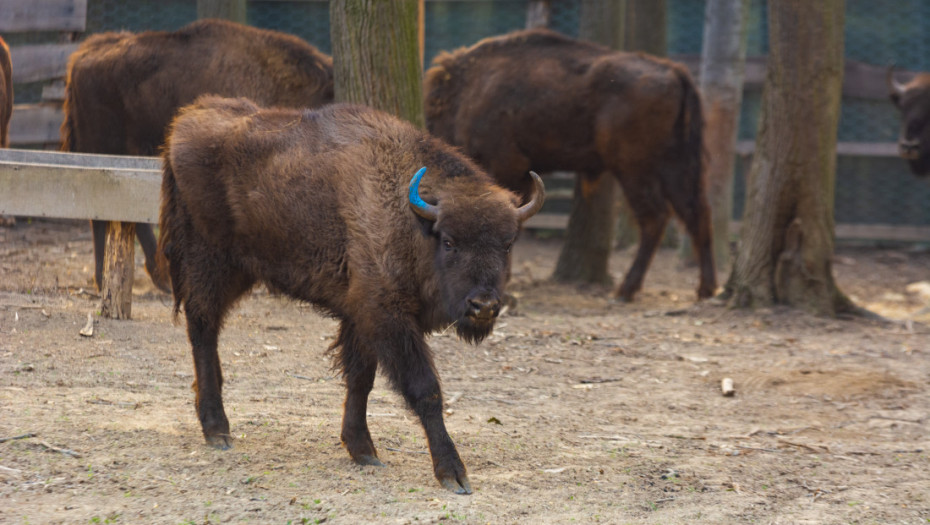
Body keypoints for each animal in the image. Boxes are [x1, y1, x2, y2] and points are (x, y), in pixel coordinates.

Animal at [158, 96, 544, 494]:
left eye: (507, 243)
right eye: (449, 241)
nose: (483, 306)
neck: (409, 216)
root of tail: (184, 121)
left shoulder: (361, 317)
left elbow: (361, 379)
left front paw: (362, 450)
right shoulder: (387, 316)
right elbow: (425, 388)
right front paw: (453, 473)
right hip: (210, 262)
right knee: (202, 329)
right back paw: (217, 430)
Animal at [424, 28, 716, 302]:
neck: (464, 92)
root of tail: (675, 72)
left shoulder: (506, 166)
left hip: (634, 169)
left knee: (655, 217)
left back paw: (625, 290)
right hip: (674, 165)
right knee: (695, 212)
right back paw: (706, 288)